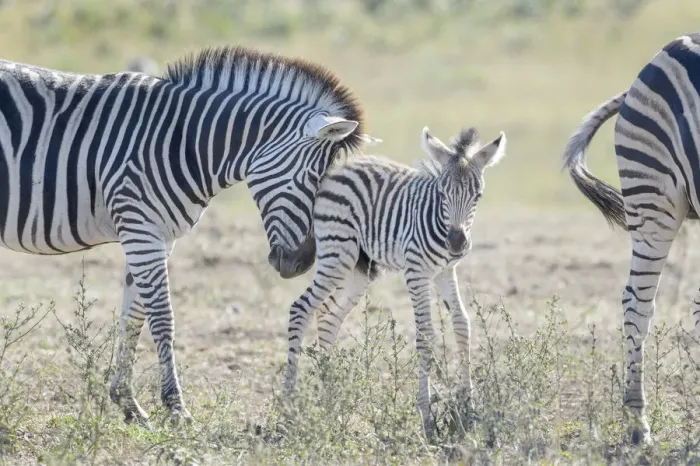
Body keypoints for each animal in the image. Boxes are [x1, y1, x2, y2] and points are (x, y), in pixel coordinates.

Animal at [0, 46, 377, 429]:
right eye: (314, 178)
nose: (301, 263)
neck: (183, 142)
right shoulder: (140, 228)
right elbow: (162, 316)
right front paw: (175, 407)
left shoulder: (157, 236)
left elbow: (134, 317)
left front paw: (128, 404)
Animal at [282, 125, 507, 436]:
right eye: (442, 192)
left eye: (478, 195)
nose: (457, 243)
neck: (437, 218)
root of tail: (337, 168)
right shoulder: (416, 271)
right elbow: (426, 334)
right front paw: (427, 418)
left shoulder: (445, 272)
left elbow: (462, 323)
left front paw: (467, 406)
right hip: (337, 254)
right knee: (300, 308)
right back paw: (289, 408)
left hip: (358, 267)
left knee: (328, 316)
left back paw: (331, 400)